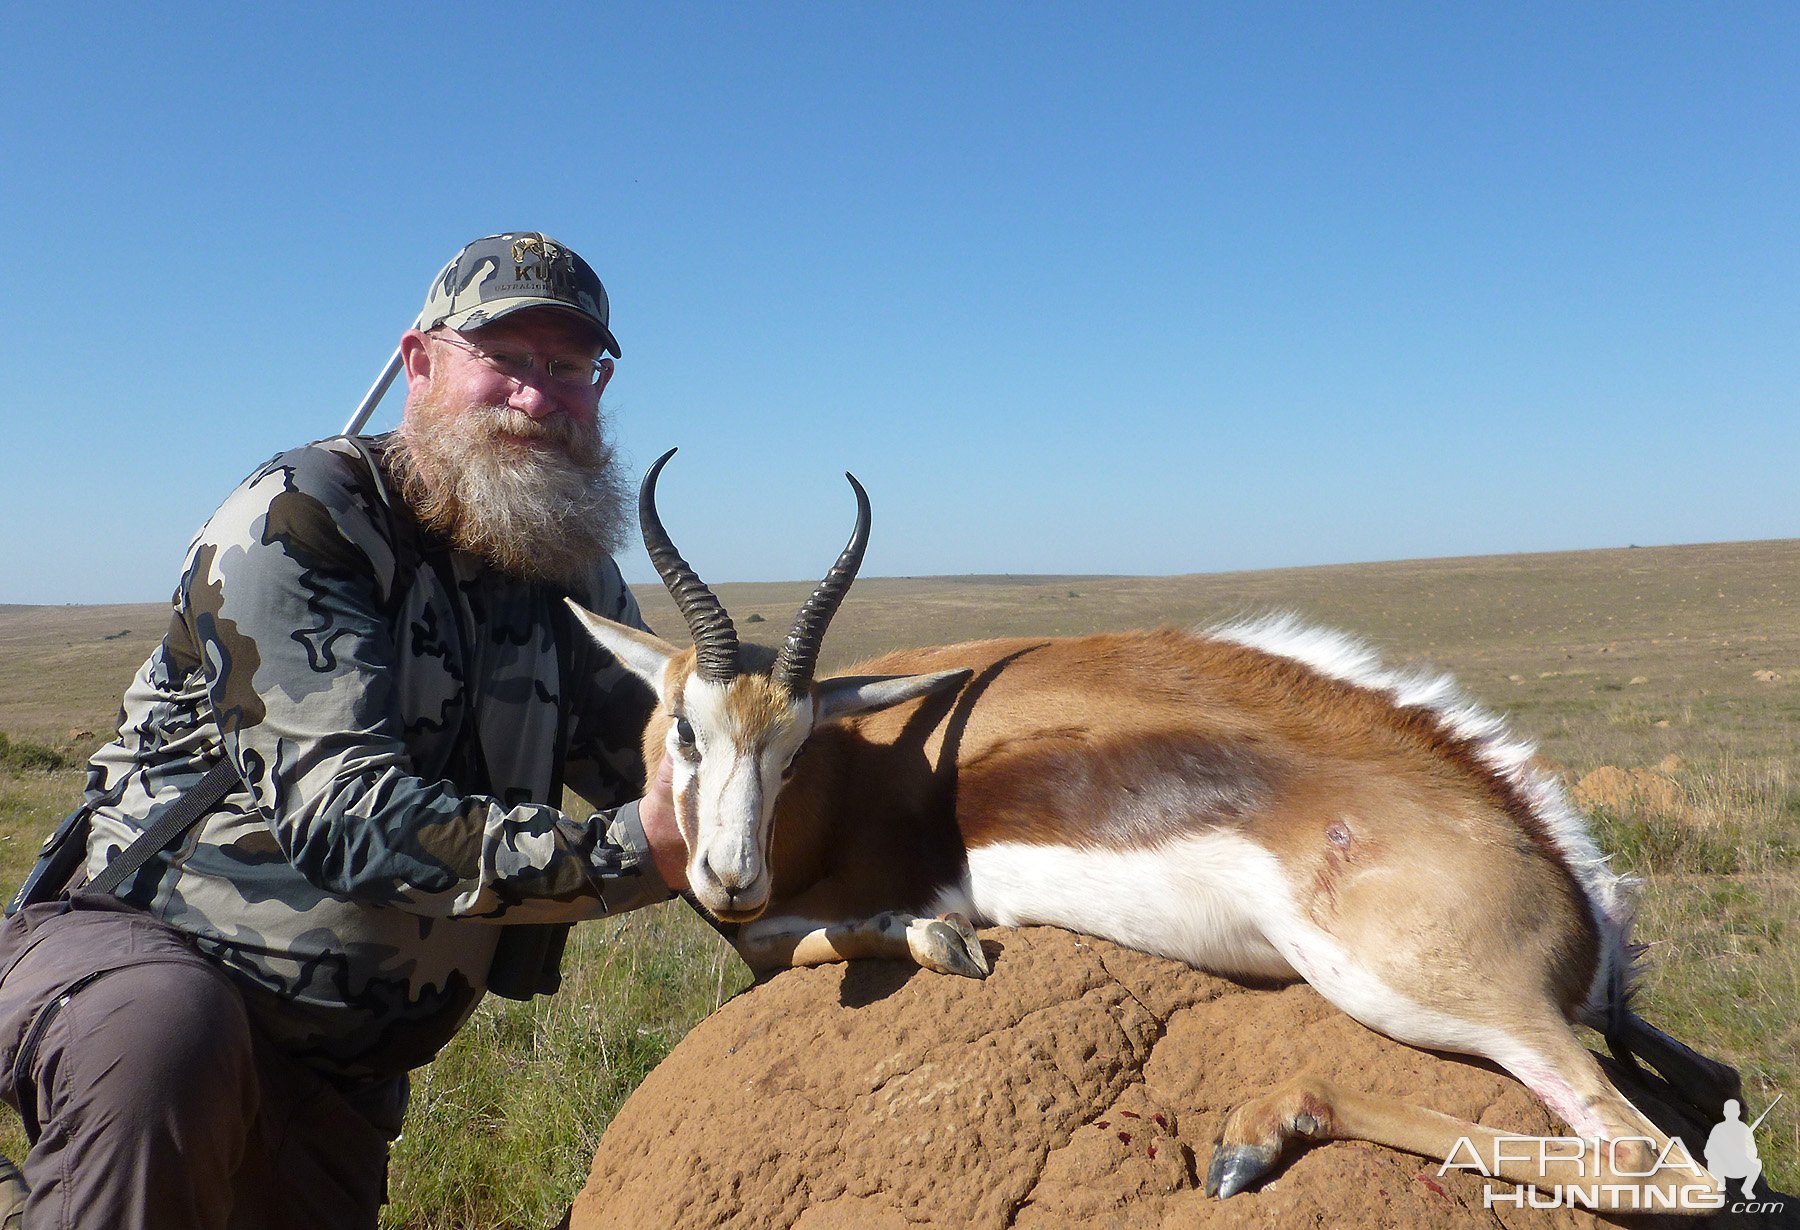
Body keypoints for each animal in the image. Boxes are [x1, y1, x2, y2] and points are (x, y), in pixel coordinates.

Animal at [568, 450, 1735, 1210]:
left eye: (795, 745)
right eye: (685, 728)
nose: (727, 874)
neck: (874, 759)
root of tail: (1583, 903)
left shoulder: (856, 894)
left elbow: (792, 942)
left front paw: (943, 946)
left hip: (1419, 996)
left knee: (1649, 1165)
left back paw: (1256, 1135)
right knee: (1712, 1088)